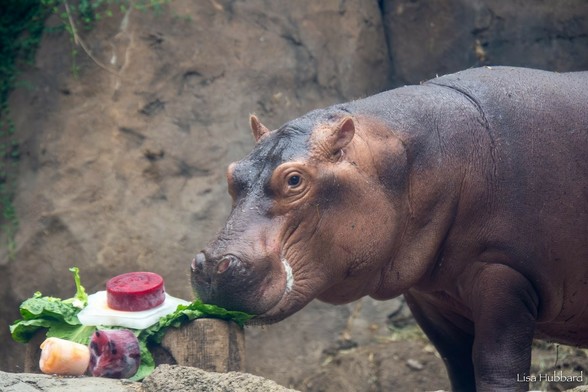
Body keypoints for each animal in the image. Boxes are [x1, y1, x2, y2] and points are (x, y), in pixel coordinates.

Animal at [191, 66, 584, 390]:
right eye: (232, 172)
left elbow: (497, 368)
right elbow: (459, 367)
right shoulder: (431, 297)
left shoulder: (505, 274)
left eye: (293, 179)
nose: (210, 266)